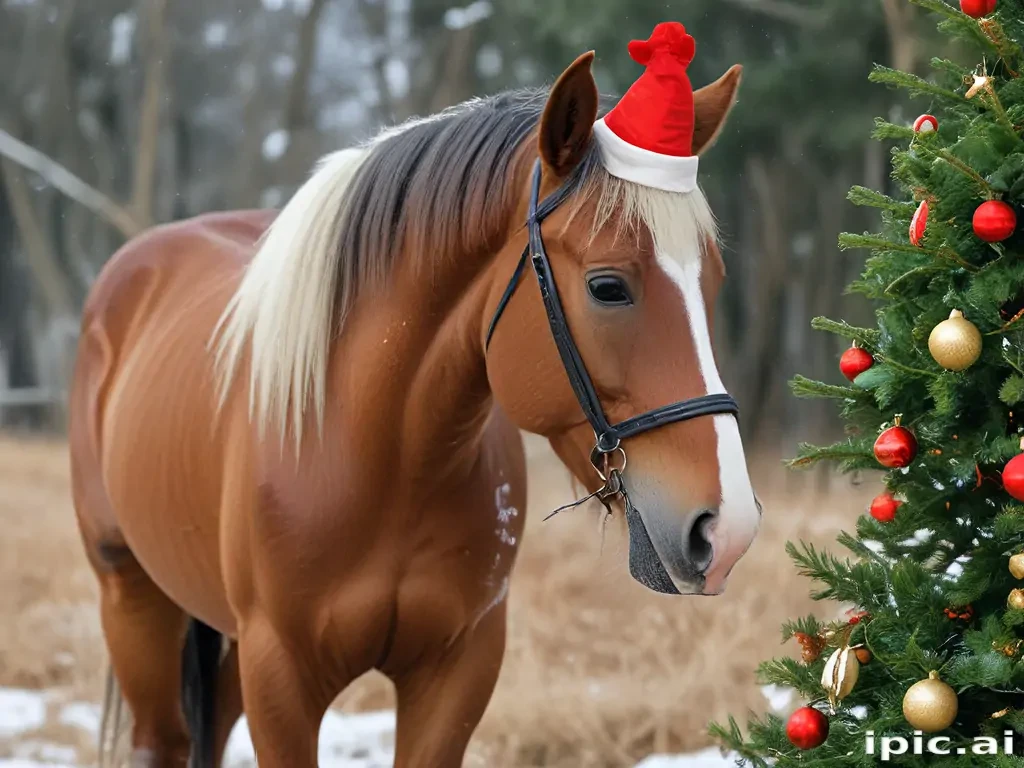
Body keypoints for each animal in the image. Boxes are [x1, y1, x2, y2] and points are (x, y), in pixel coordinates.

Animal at [68, 48, 759, 767]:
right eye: (607, 287)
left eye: (713, 281)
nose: (727, 528)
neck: (379, 455)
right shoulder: (279, 676)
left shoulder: (458, 669)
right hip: (132, 599)